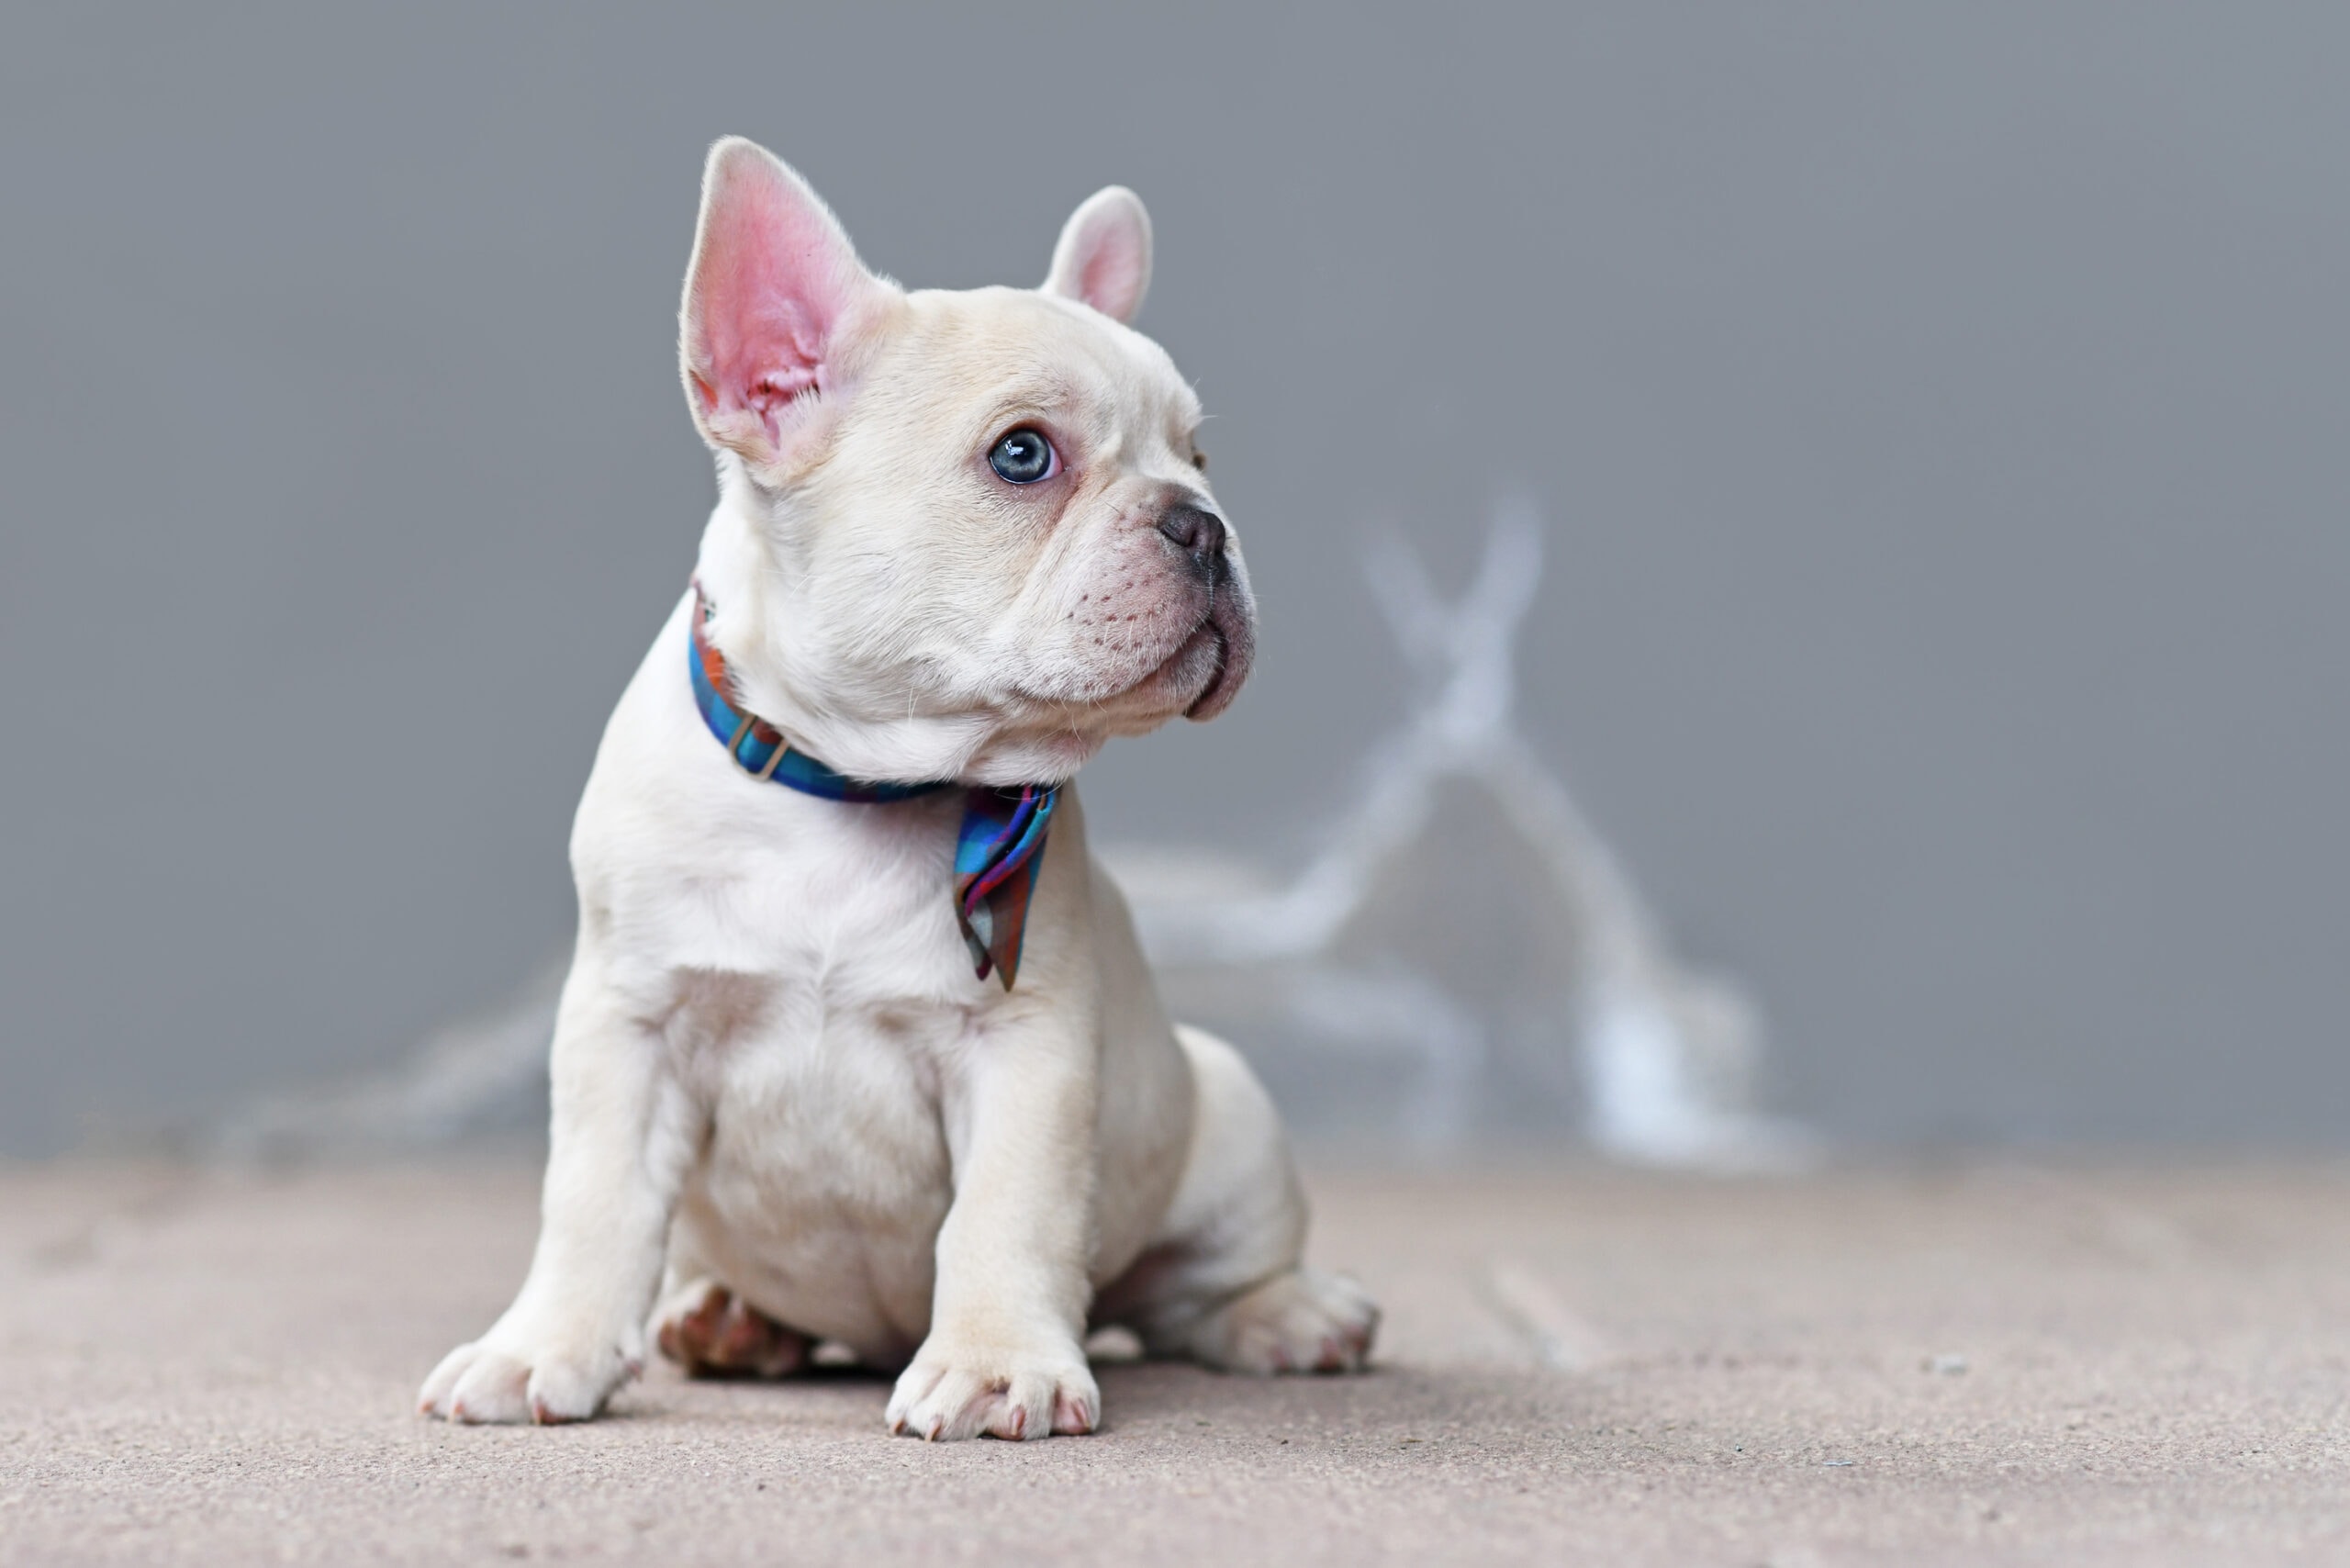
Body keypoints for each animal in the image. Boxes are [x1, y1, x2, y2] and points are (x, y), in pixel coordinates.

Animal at [418, 140, 1372, 1439]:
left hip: (1225, 1119)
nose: (1205, 523)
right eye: (1023, 454)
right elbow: (595, 1201)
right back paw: (728, 1318)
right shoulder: (628, 1025)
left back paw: (1291, 1315)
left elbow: (1006, 1215)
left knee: (1193, 1289)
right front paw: (540, 1348)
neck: (853, 788)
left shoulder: (1027, 1048)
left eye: (1199, 457)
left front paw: (996, 1362)